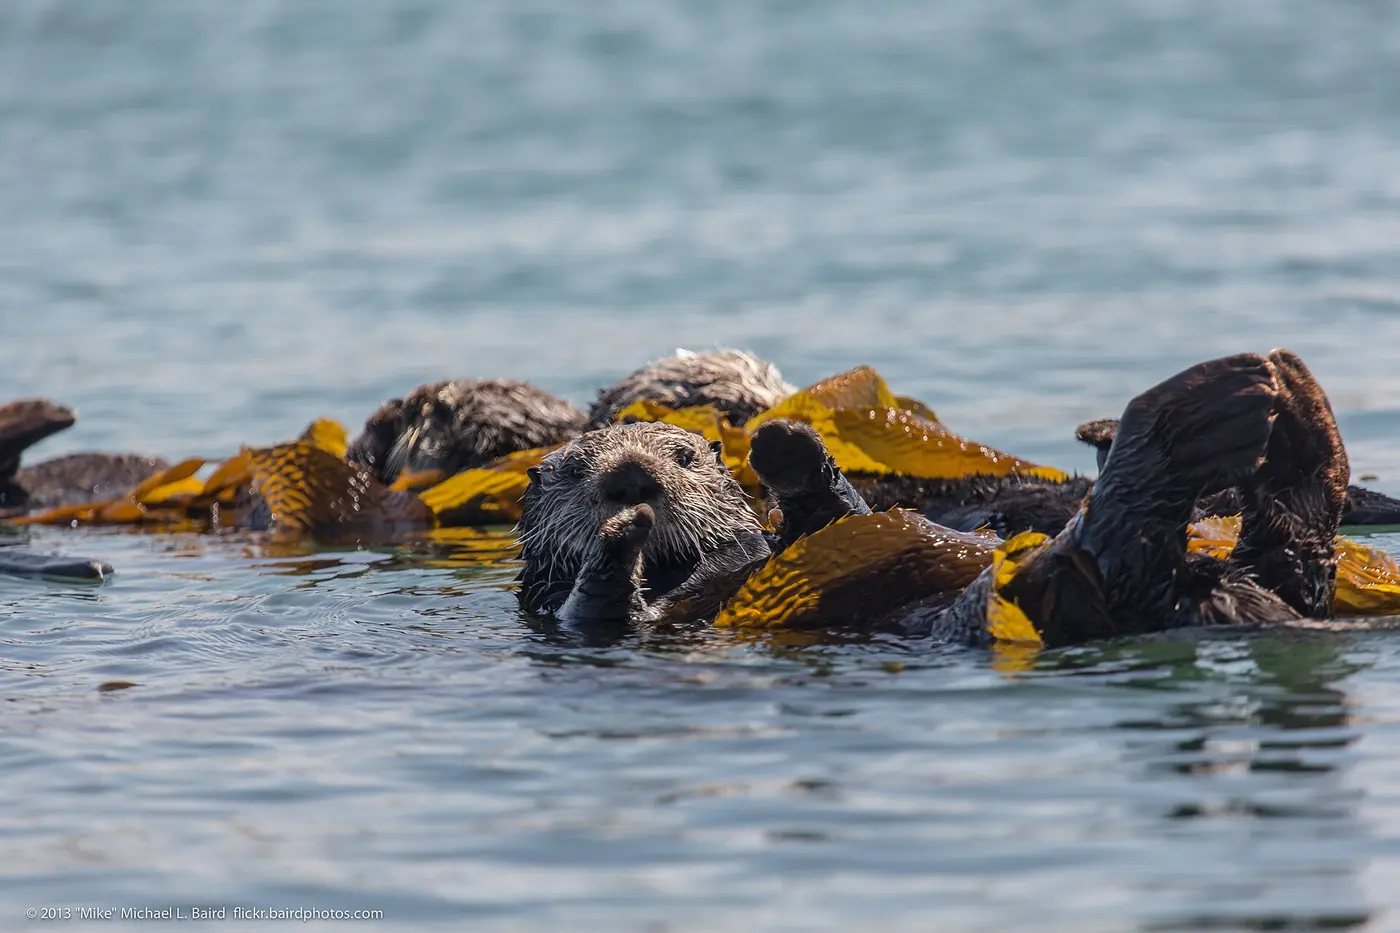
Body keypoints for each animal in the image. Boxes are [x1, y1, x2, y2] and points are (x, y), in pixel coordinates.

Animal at [518, 350, 1349, 647]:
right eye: (573, 468)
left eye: (686, 454)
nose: (632, 479)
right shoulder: (581, 618)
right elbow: (597, 607)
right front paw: (620, 537)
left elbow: (834, 517)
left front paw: (790, 446)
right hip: (1051, 594)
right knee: (1118, 542)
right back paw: (1207, 413)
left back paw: (1292, 412)